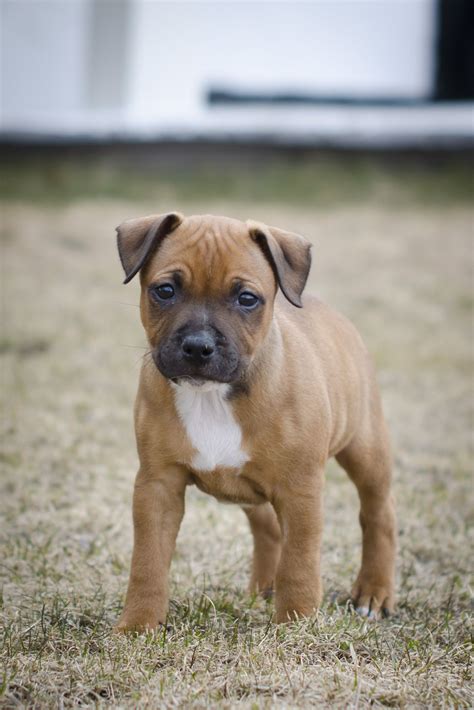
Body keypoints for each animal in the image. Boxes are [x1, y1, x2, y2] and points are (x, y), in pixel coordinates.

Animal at [115, 214, 396, 632]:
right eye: (164, 291)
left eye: (247, 299)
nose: (198, 346)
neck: (213, 395)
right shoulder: (157, 486)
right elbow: (148, 561)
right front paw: (138, 625)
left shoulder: (300, 490)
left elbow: (299, 561)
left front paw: (295, 623)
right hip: (251, 487)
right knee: (267, 527)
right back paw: (265, 586)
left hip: (365, 447)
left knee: (377, 512)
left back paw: (373, 593)